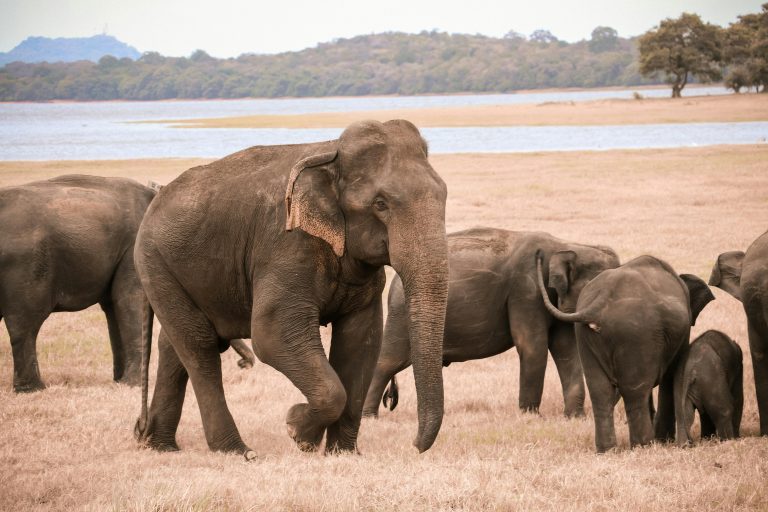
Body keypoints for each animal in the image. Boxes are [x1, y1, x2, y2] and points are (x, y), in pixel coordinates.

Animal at [0, 175, 156, 392]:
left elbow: (113, 306)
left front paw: (119, 382)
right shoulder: (134, 249)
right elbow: (128, 300)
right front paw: (132, 385)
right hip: (24, 266)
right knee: (25, 323)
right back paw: (33, 389)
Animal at [133, 119, 449, 460]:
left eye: (444, 196)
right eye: (381, 204)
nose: (414, 446)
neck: (332, 153)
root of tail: (155, 198)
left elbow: (361, 341)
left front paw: (343, 453)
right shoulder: (286, 246)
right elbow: (272, 336)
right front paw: (298, 431)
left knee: (173, 345)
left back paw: (161, 446)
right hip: (154, 262)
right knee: (199, 346)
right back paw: (238, 452)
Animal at [363, 228, 619, 418]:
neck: (569, 245)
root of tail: (395, 282)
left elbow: (566, 350)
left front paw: (575, 417)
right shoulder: (526, 290)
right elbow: (532, 346)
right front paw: (530, 417)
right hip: (401, 316)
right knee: (387, 361)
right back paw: (368, 417)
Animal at [536, 253, 714, 452]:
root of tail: (601, 301)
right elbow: (672, 375)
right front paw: (664, 441)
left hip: (585, 334)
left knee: (599, 390)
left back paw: (607, 450)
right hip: (636, 333)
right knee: (635, 391)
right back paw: (643, 446)